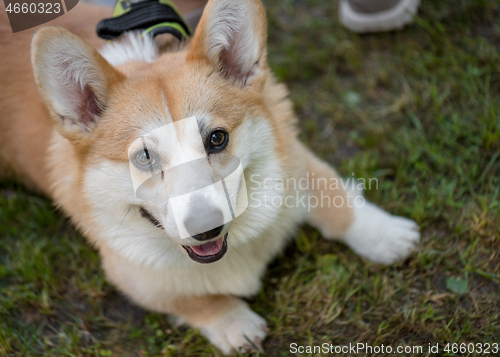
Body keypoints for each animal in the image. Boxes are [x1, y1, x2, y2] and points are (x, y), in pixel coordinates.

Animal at [0, 0, 420, 354]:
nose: (207, 230)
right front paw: (235, 323)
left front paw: (386, 235)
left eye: (217, 138)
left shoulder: (292, 157)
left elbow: (333, 195)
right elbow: (194, 299)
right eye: (145, 157)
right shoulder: (132, 275)